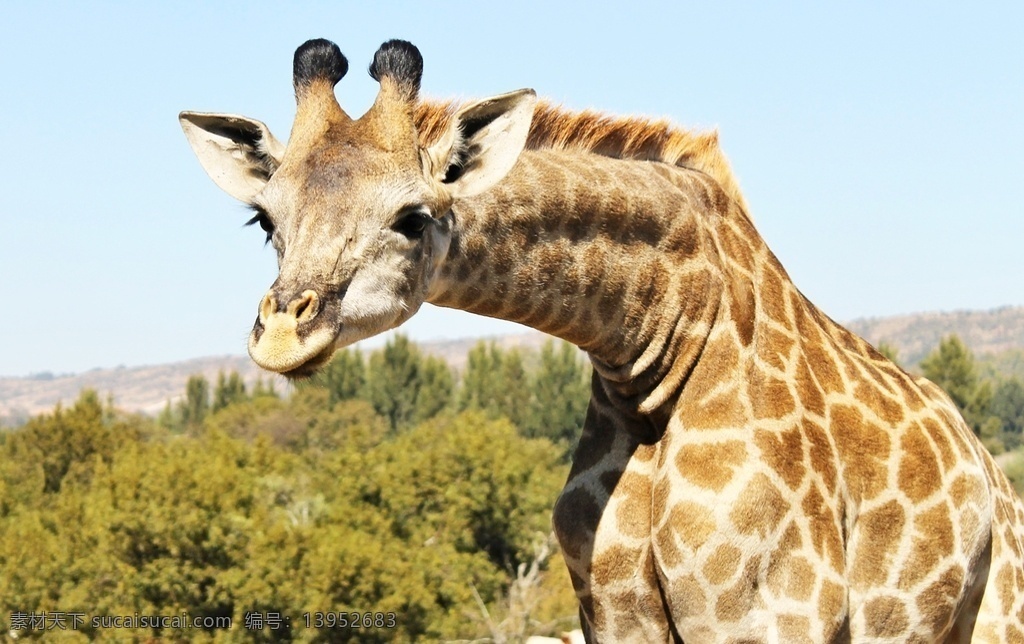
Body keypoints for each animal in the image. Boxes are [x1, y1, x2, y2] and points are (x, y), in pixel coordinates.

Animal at [180, 38, 1024, 642]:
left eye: (412, 218)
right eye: (264, 220)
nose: (283, 335)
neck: (657, 351)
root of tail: (989, 470)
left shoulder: (773, 619)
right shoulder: (616, 616)